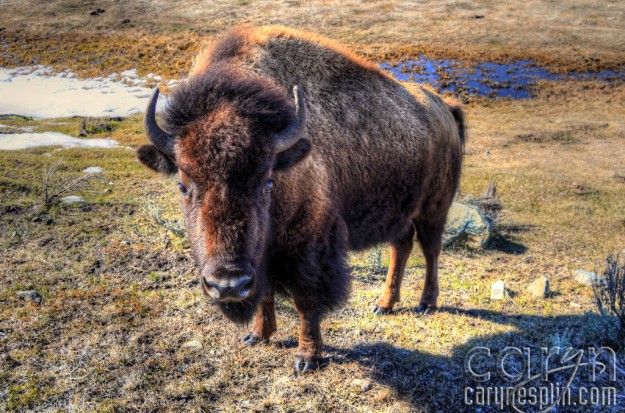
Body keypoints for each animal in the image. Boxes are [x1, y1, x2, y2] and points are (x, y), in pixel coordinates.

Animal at [136, 25, 464, 374]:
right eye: (183, 186)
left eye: (267, 181)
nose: (227, 285)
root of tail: (445, 107)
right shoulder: (262, 257)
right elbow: (266, 293)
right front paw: (257, 335)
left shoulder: (309, 248)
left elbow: (306, 301)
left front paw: (307, 358)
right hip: (400, 214)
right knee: (400, 249)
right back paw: (383, 305)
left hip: (434, 209)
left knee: (430, 251)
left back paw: (426, 304)